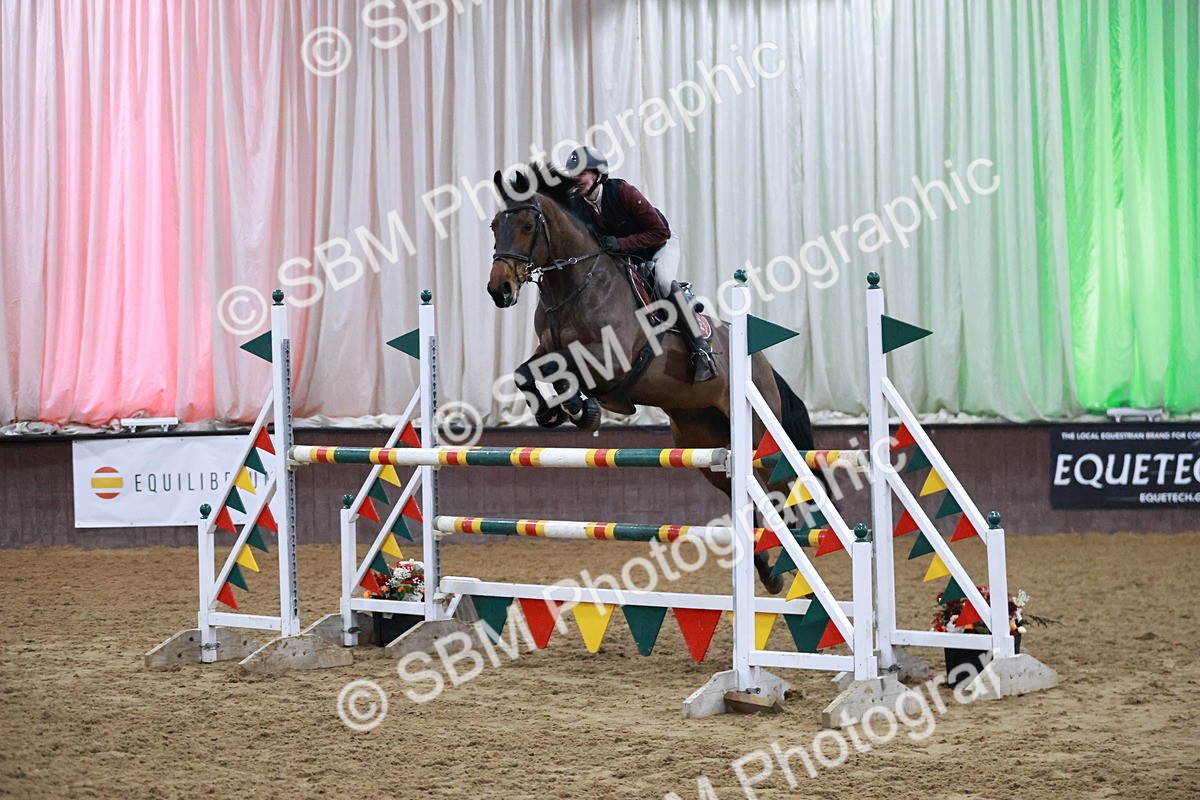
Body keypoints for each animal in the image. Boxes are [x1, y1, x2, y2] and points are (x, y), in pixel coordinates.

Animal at [486, 164, 822, 593]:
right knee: (745, 496)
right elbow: (526, 373)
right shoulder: (549, 350)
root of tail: (761, 362)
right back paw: (767, 571)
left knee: (783, 489)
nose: (499, 290)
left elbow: (571, 375)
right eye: (495, 225)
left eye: (528, 224)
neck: (575, 283)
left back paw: (786, 565)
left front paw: (580, 407)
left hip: (759, 437)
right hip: (705, 446)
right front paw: (554, 412)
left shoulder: (610, 361)